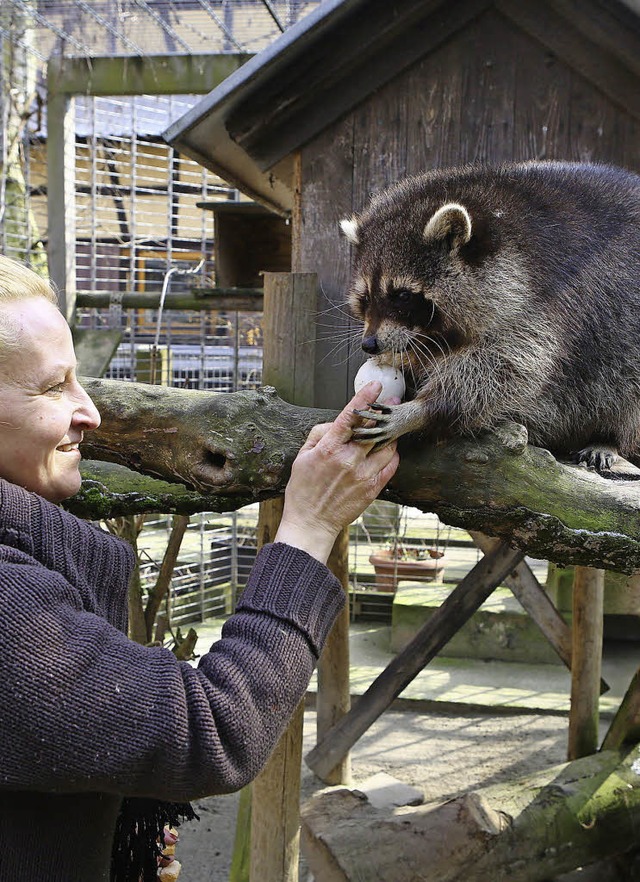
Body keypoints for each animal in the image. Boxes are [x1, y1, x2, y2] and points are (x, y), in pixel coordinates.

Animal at [342, 161, 640, 470]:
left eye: (402, 296)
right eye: (366, 297)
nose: (370, 344)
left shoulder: (548, 298)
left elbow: (512, 366)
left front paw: (424, 409)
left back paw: (609, 438)